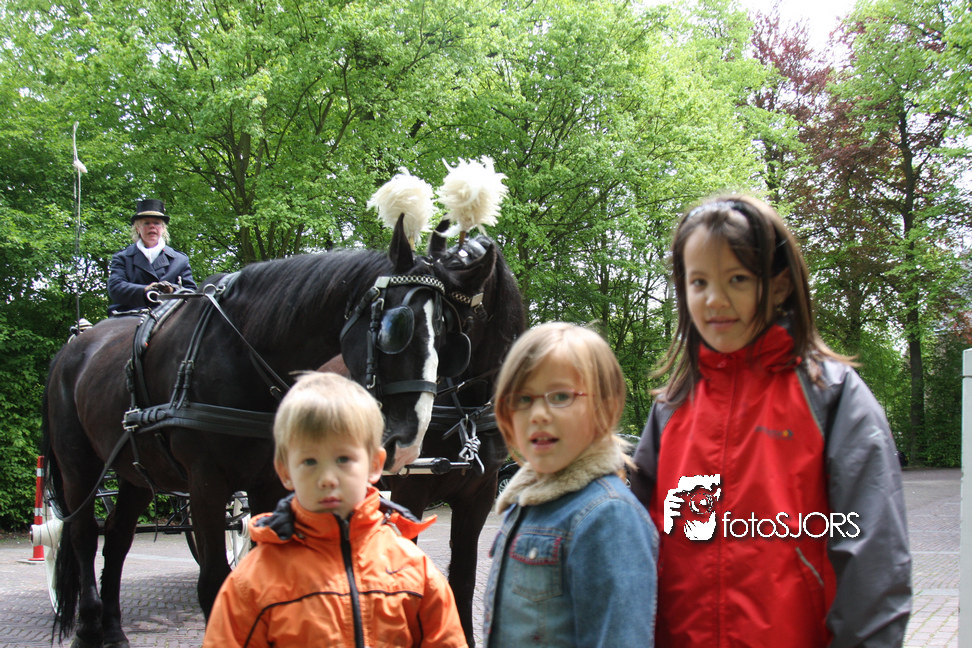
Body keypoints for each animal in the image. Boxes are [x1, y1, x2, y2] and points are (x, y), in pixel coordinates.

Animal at [41, 217, 486, 648]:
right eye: (395, 328)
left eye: (448, 333)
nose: (407, 443)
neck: (236, 350)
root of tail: (71, 348)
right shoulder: (206, 483)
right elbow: (214, 582)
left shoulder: (267, 482)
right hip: (78, 467)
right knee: (81, 535)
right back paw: (87, 627)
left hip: (137, 471)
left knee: (117, 537)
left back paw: (114, 630)